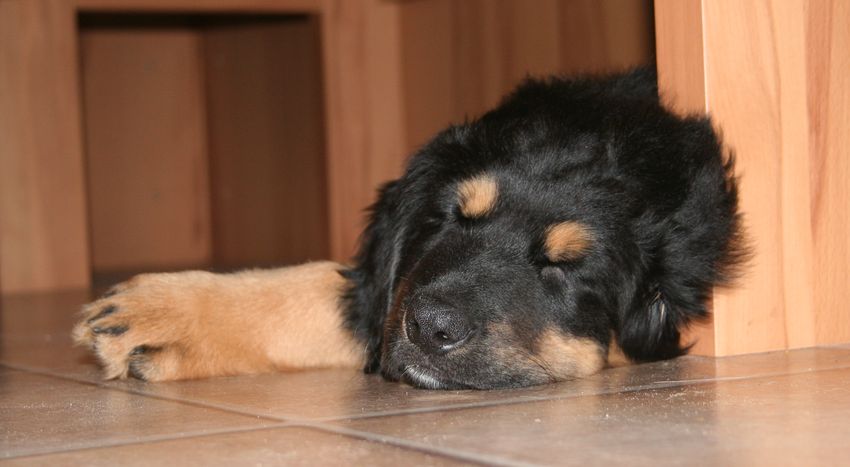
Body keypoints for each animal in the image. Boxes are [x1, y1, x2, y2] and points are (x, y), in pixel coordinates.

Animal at [73, 68, 746, 390]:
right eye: (451, 218)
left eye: (566, 266)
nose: (430, 328)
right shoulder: (390, 290)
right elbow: (343, 292)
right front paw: (163, 314)